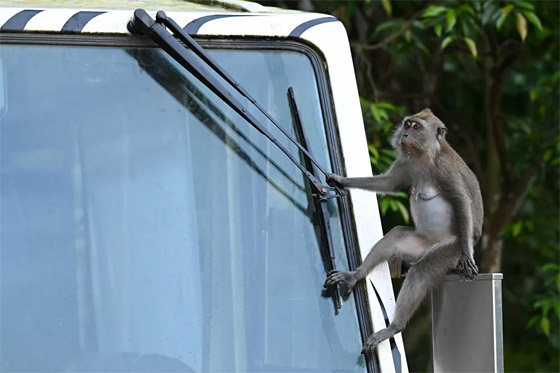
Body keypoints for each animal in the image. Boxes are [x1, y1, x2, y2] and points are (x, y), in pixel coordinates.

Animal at [326, 107, 484, 352]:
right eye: (407, 125)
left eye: (416, 127)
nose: (405, 134)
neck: (424, 157)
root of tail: (430, 246)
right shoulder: (407, 164)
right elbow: (389, 184)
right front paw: (341, 180)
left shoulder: (444, 170)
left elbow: (461, 202)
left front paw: (468, 256)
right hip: (419, 244)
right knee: (396, 236)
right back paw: (355, 276)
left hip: (449, 250)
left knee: (420, 272)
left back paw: (394, 327)